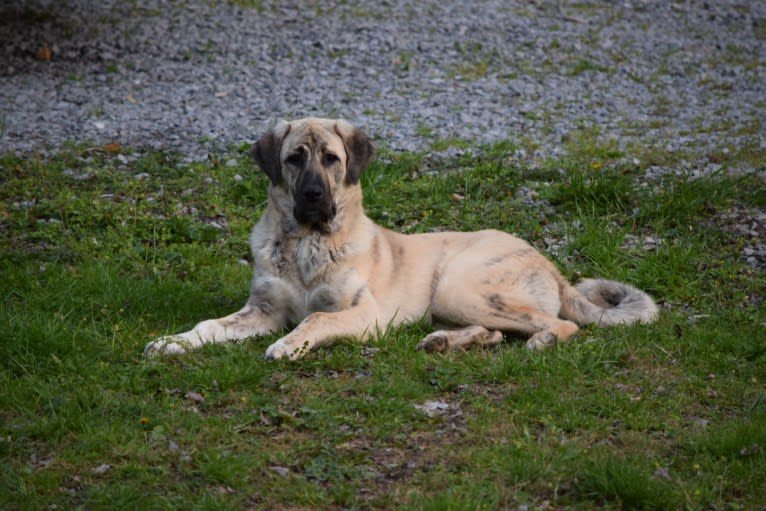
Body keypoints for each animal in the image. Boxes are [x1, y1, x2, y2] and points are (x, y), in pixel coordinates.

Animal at [146, 118, 660, 362]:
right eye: (294, 158)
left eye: (331, 159)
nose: (313, 195)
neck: (306, 243)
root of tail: (550, 265)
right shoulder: (263, 310)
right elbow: (211, 325)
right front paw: (174, 341)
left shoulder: (365, 314)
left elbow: (316, 320)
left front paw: (290, 345)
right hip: (455, 301)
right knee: (497, 332)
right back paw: (447, 343)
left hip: (459, 286)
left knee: (558, 325)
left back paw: (541, 342)